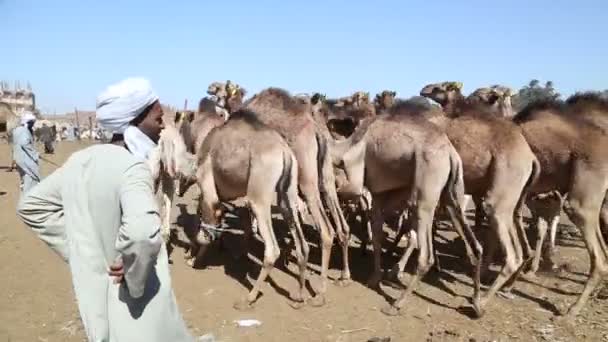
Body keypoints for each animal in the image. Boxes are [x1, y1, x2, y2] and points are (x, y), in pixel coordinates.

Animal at [188, 110, 312, 310]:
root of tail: (285, 152)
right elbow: (219, 220)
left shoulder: (207, 185)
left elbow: (207, 220)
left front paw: (194, 259)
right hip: (288, 193)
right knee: (303, 244)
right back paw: (299, 296)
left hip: (259, 195)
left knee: (272, 250)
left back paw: (249, 298)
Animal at [240, 87, 350, 304]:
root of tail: (317, 132)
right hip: (325, 174)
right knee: (341, 225)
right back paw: (344, 277)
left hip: (305, 176)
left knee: (326, 231)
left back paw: (319, 292)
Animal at [326, 101, 482, 316]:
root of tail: (452, 154)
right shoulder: (381, 193)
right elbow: (377, 235)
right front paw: (374, 278)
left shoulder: (356, 175)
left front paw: (346, 276)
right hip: (453, 194)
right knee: (475, 247)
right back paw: (477, 304)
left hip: (426, 189)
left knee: (425, 255)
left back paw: (396, 304)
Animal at [420, 81, 540, 316]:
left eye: (440, 87)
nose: (424, 89)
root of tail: (530, 158)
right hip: (513, 201)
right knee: (521, 247)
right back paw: (502, 289)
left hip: (500, 193)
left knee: (512, 254)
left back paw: (479, 303)